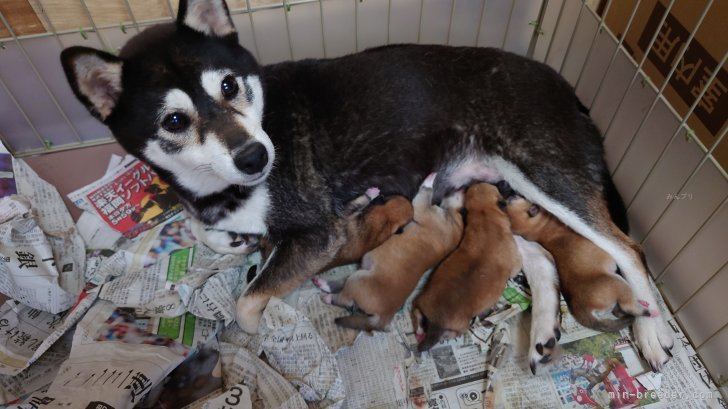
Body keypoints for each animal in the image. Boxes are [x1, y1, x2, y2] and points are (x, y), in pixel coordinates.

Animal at [314, 176, 464, 332]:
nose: (459, 188)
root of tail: (385, 316)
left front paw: (430, 179)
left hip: (357, 279)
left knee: (344, 300)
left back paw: (327, 297)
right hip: (360, 273)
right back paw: (322, 284)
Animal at [412, 182, 520, 350]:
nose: (504, 183)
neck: (485, 214)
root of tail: (436, 322)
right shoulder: (515, 262)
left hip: (420, 302)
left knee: (416, 314)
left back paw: (418, 329)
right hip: (462, 326)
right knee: (453, 333)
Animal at [500, 194, 656, 332]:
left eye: (509, 201)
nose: (510, 194)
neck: (537, 228)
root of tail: (582, 308)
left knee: (618, 312)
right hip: (619, 283)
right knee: (628, 305)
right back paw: (648, 310)